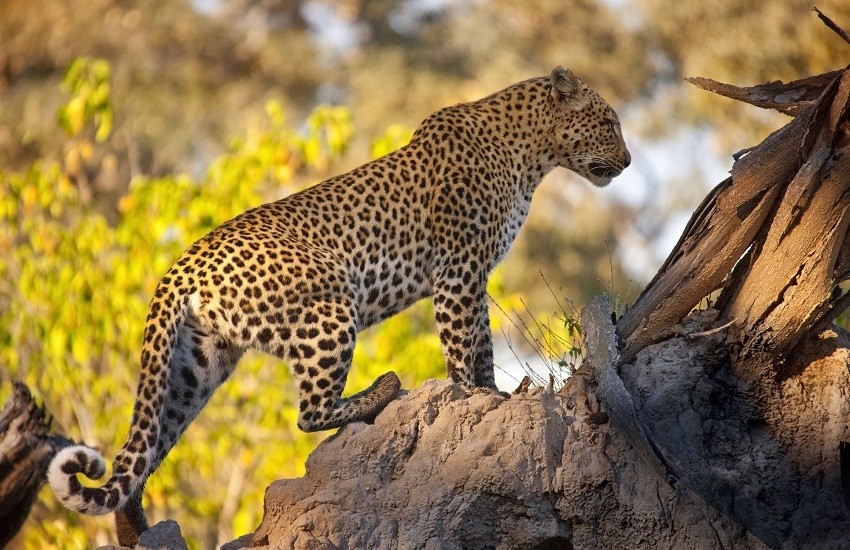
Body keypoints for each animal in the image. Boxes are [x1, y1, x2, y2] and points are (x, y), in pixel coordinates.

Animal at [48, 66, 628, 548]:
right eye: (608, 122)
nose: (625, 163)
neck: (530, 155)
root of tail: (180, 267)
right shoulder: (458, 270)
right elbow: (464, 346)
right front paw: (477, 399)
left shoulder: (472, 274)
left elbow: (482, 343)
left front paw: (494, 396)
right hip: (331, 303)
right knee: (309, 413)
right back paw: (382, 392)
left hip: (197, 364)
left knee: (149, 441)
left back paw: (136, 527)